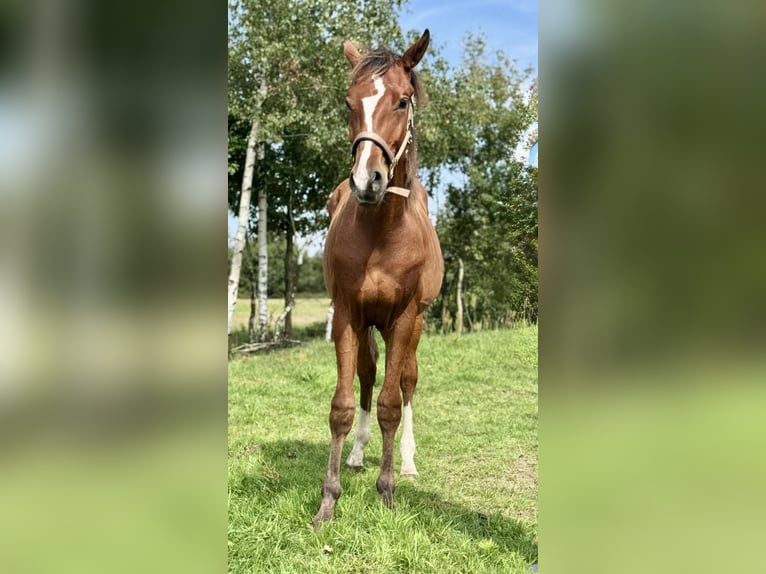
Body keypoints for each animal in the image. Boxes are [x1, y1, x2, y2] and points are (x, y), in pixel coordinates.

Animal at [313, 29, 444, 526]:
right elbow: (343, 405)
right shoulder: (348, 313)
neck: (381, 231)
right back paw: (356, 453)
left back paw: (406, 461)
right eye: (348, 102)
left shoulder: (404, 317)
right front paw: (328, 500)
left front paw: (386, 491)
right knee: (368, 375)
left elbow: (391, 404)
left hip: (414, 326)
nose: (367, 181)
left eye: (403, 101)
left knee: (405, 382)